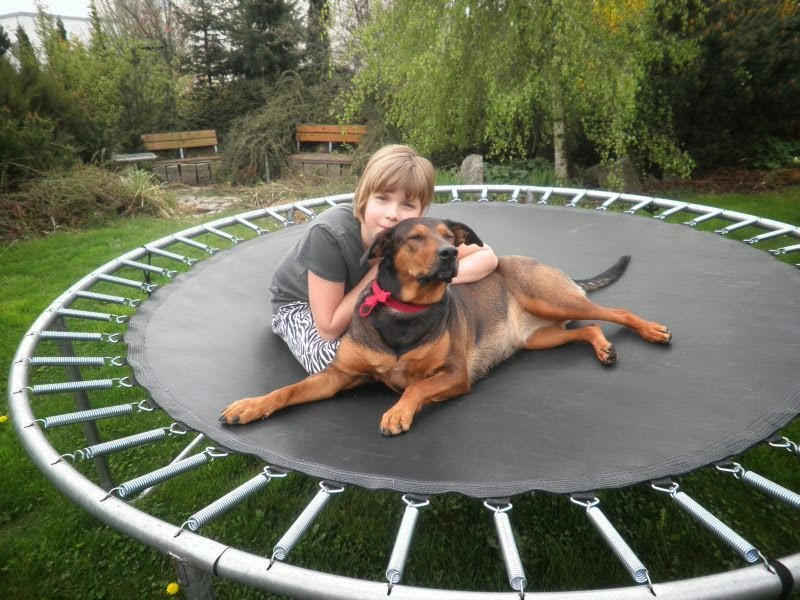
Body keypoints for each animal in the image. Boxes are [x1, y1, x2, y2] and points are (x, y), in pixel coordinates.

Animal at [220, 217, 672, 435]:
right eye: (414, 238)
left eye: (448, 236)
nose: (451, 253)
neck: (404, 310)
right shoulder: (339, 376)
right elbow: (287, 390)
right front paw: (251, 405)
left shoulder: (455, 375)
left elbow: (416, 387)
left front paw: (398, 412)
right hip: (539, 338)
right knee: (587, 328)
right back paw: (603, 347)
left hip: (552, 298)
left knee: (616, 312)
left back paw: (650, 329)